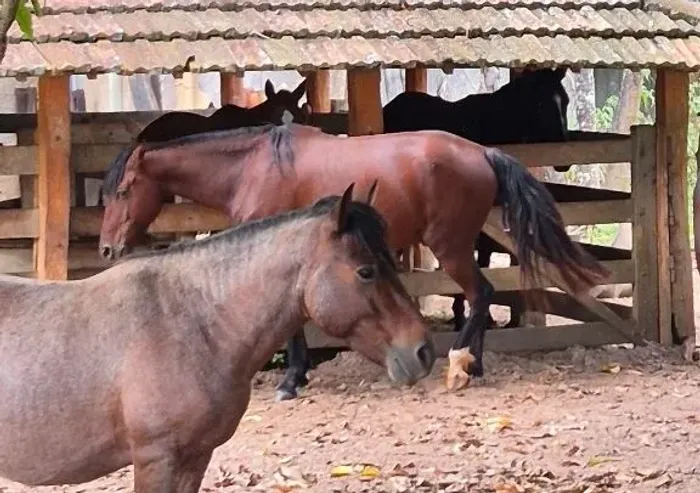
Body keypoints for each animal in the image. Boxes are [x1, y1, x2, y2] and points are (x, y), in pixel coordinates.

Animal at [97, 122, 609, 400]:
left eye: (122, 191)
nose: (106, 248)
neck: (254, 168)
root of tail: (482, 152)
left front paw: (290, 380)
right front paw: (297, 375)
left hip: (450, 246)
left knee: (479, 294)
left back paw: (461, 367)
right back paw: (473, 367)